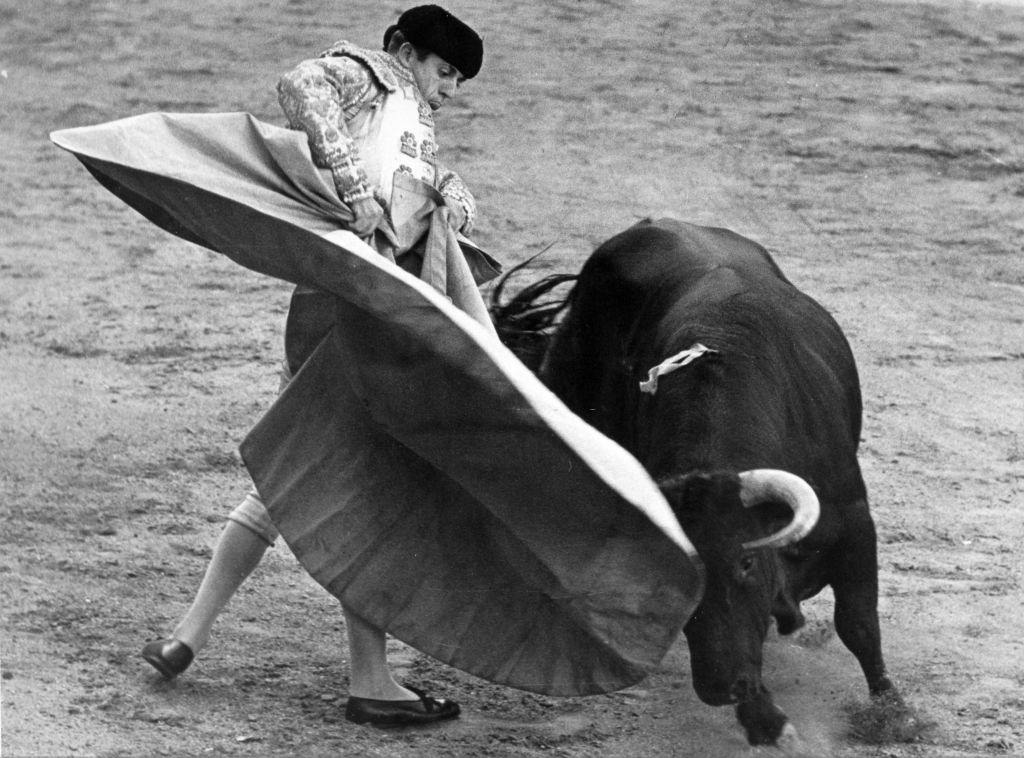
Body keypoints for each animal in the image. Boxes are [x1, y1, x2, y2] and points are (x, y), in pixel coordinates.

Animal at [491, 219, 917, 745]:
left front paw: (896, 715)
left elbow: (858, 624)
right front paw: (766, 720)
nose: (718, 689)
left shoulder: (856, 525)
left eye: (746, 563)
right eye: (681, 584)